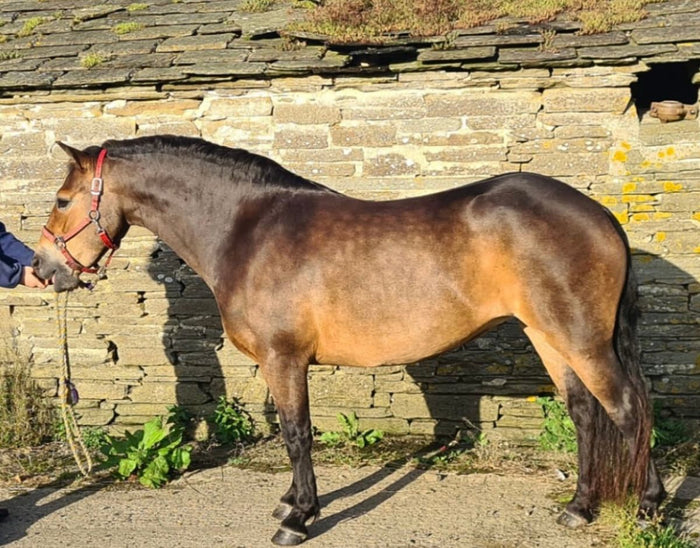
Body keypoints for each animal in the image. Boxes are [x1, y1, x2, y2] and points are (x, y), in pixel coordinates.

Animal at [34, 135, 665, 545]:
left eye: (62, 201)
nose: (42, 270)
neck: (246, 229)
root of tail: (600, 215)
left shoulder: (284, 359)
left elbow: (296, 435)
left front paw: (298, 519)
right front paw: (292, 503)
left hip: (580, 338)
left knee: (630, 409)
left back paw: (649, 508)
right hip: (548, 335)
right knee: (586, 412)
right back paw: (580, 508)